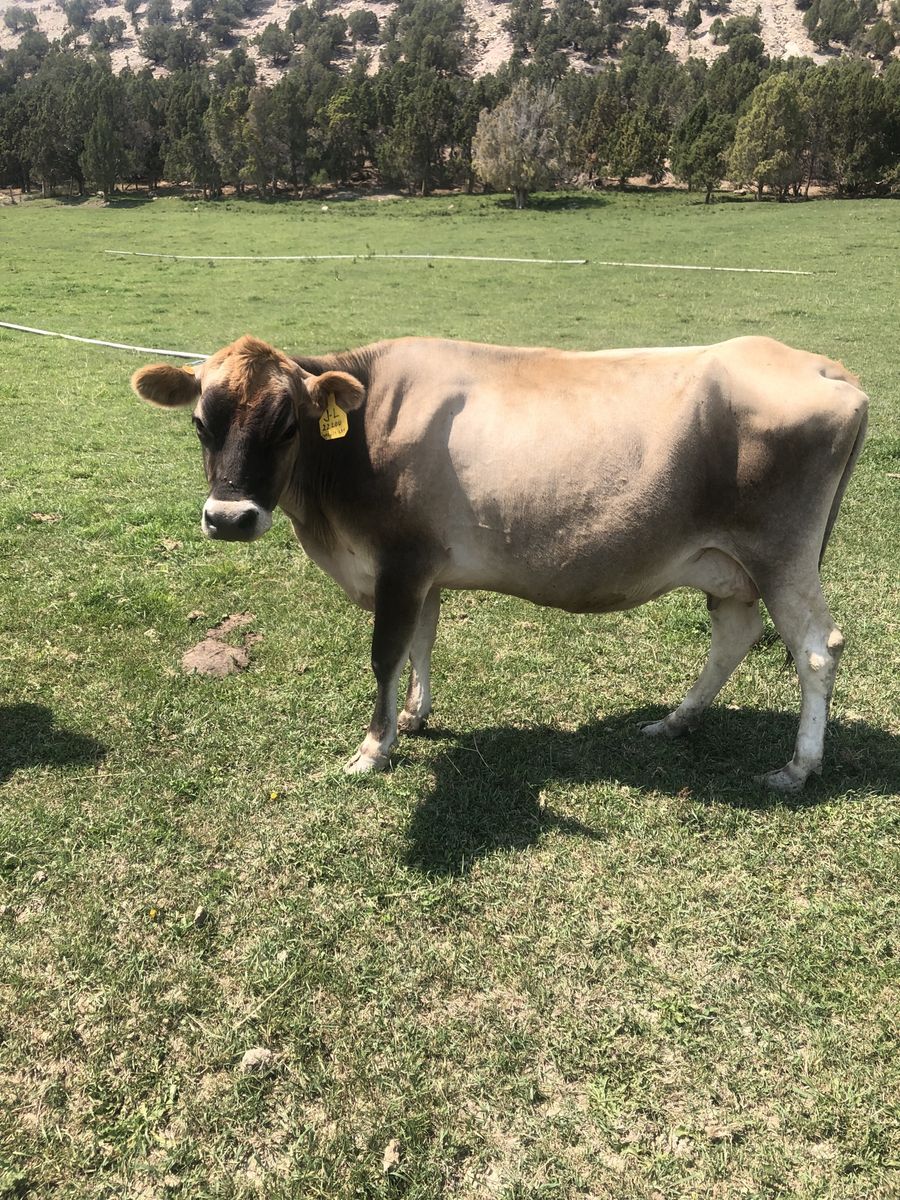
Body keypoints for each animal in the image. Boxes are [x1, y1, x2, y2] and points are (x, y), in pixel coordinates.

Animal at [132, 334, 867, 792]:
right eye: (201, 422)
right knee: (735, 636)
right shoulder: (424, 569)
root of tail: (822, 367)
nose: (229, 518)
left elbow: (385, 653)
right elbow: (421, 643)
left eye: (288, 424)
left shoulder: (399, 561)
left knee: (816, 648)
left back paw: (798, 767)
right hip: (728, 564)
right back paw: (675, 721)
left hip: (782, 555)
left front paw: (372, 749)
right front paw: (414, 717)